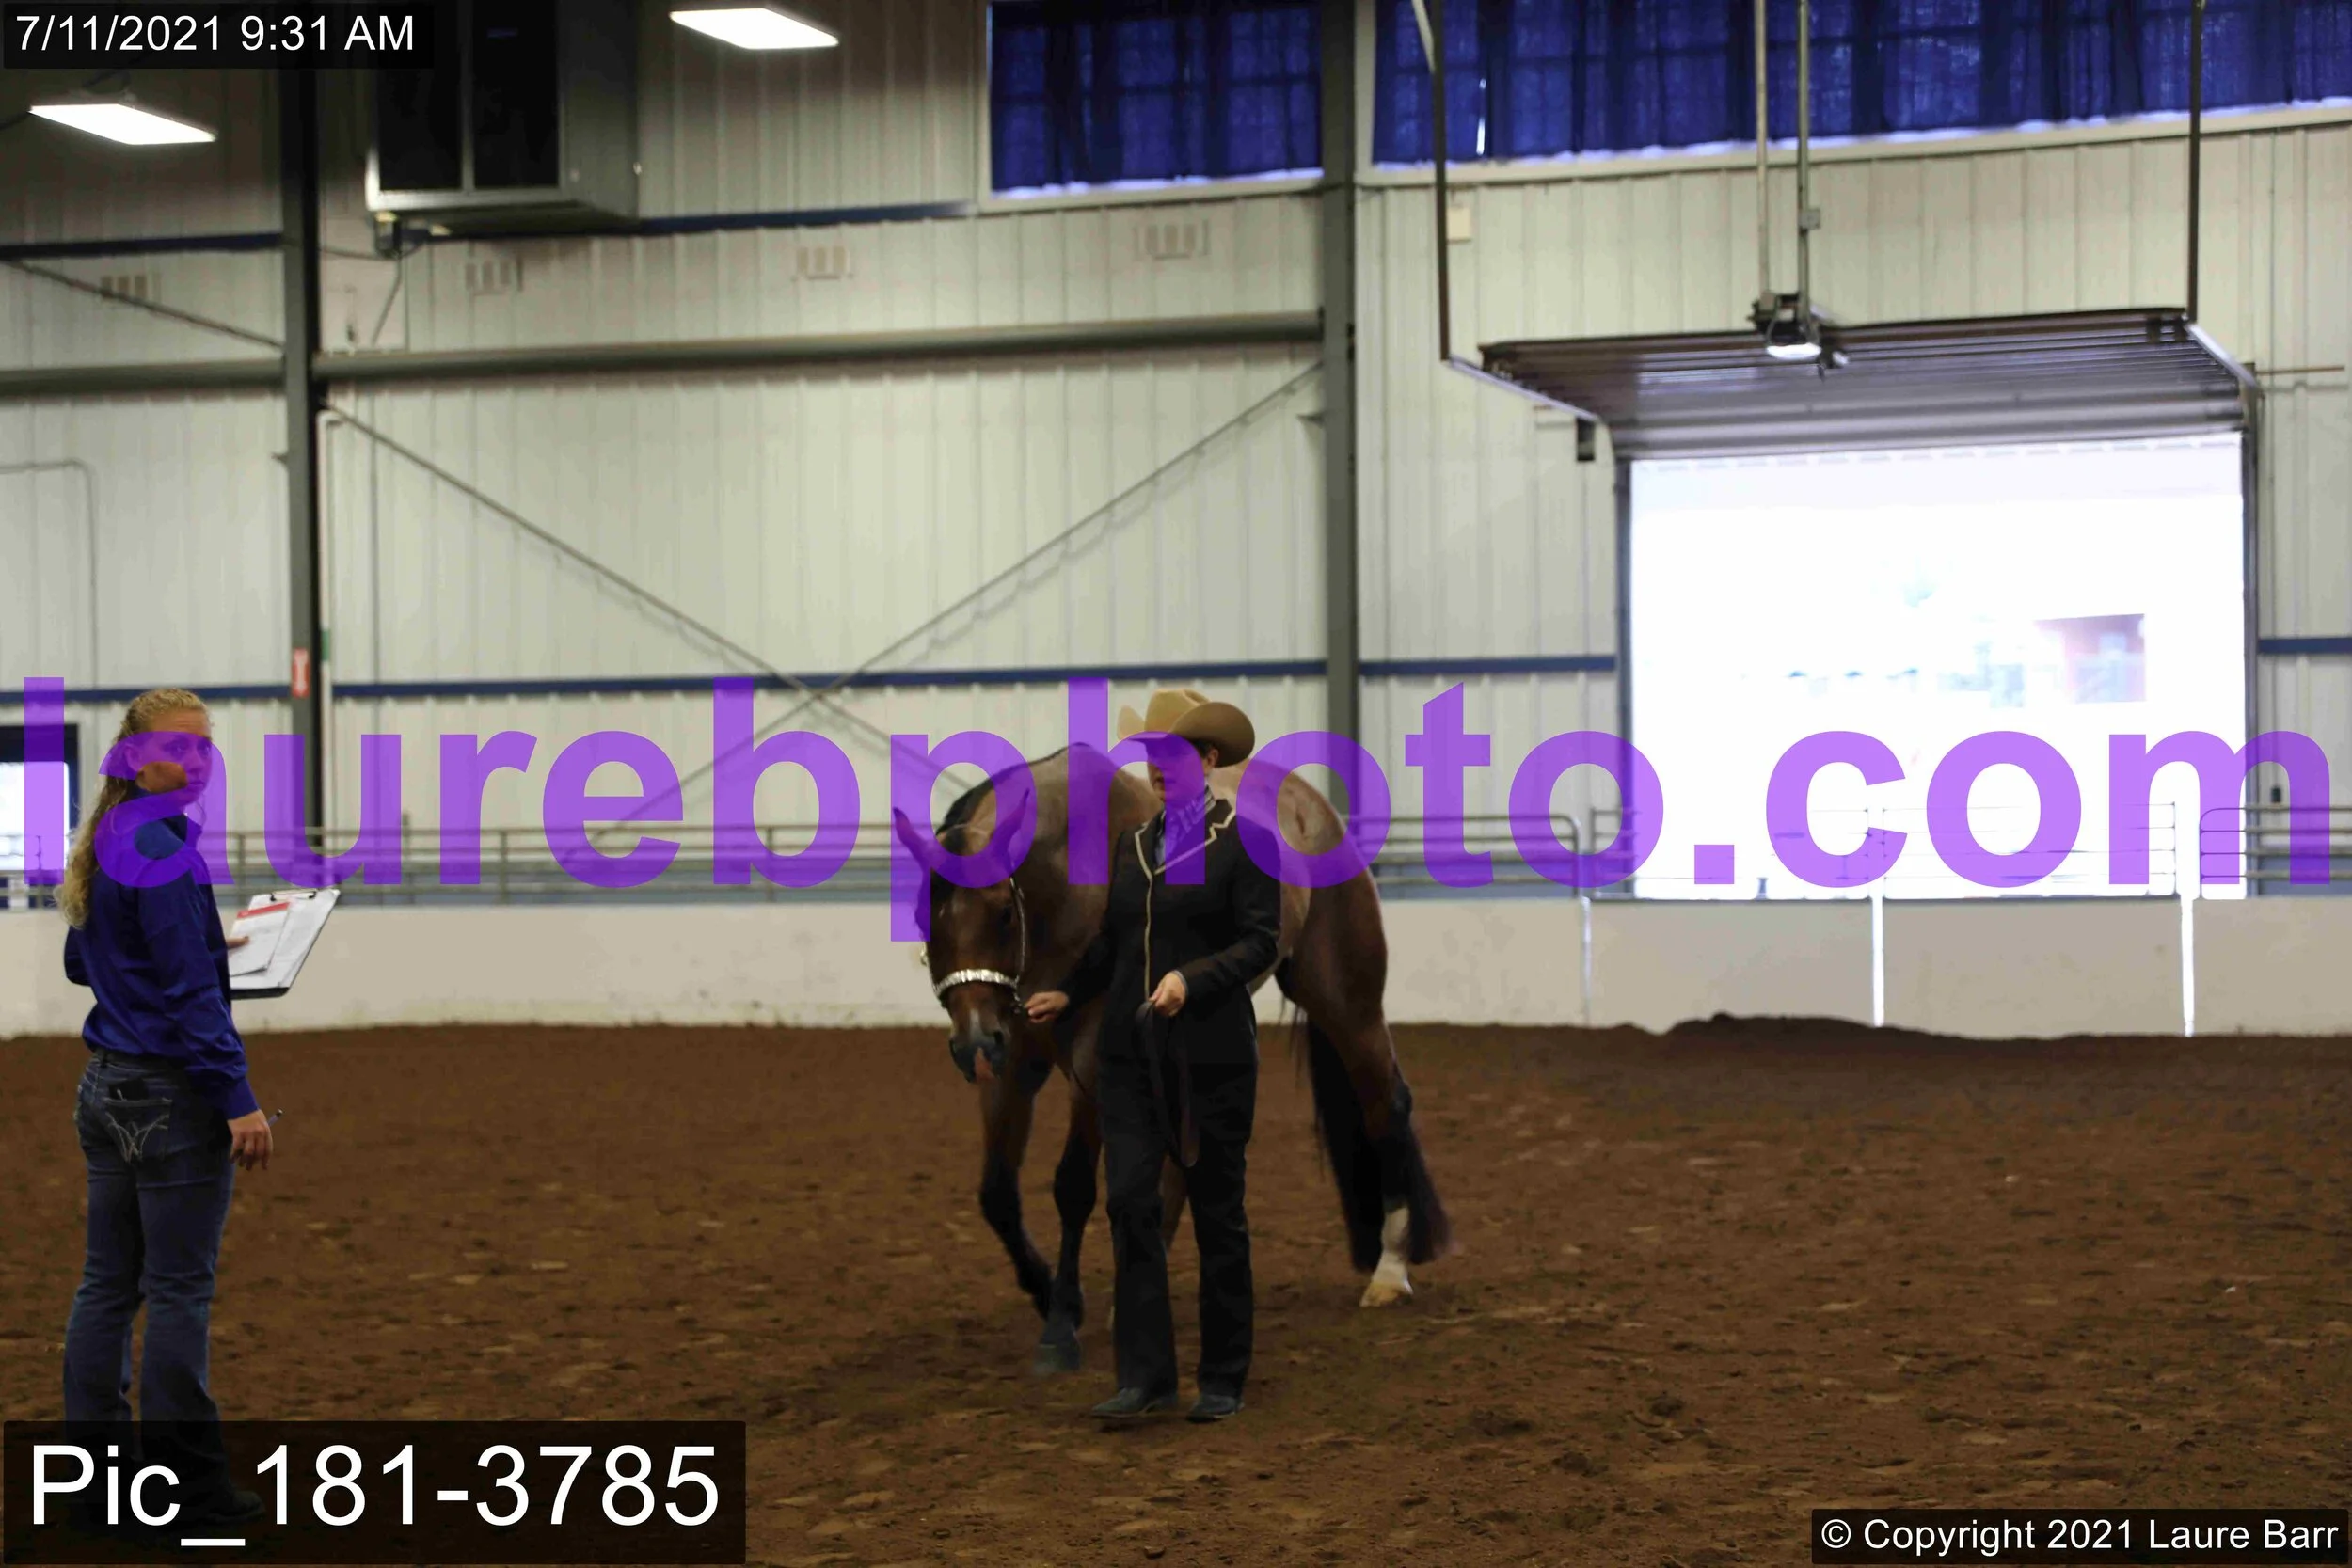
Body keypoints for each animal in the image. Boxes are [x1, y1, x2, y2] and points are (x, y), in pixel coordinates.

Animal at [892, 745, 1450, 1376]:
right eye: (925, 918)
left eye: (1003, 914)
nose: (973, 1044)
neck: (1067, 882)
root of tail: (1316, 809)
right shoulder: (1010, 1071)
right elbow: (997, 1194)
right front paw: (1048, 1292)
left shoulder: (1091, 1068)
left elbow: (1072, 1188)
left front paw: (1061, 1325)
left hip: (1346, 1002)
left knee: (1386, 1104)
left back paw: (1391, 1270)